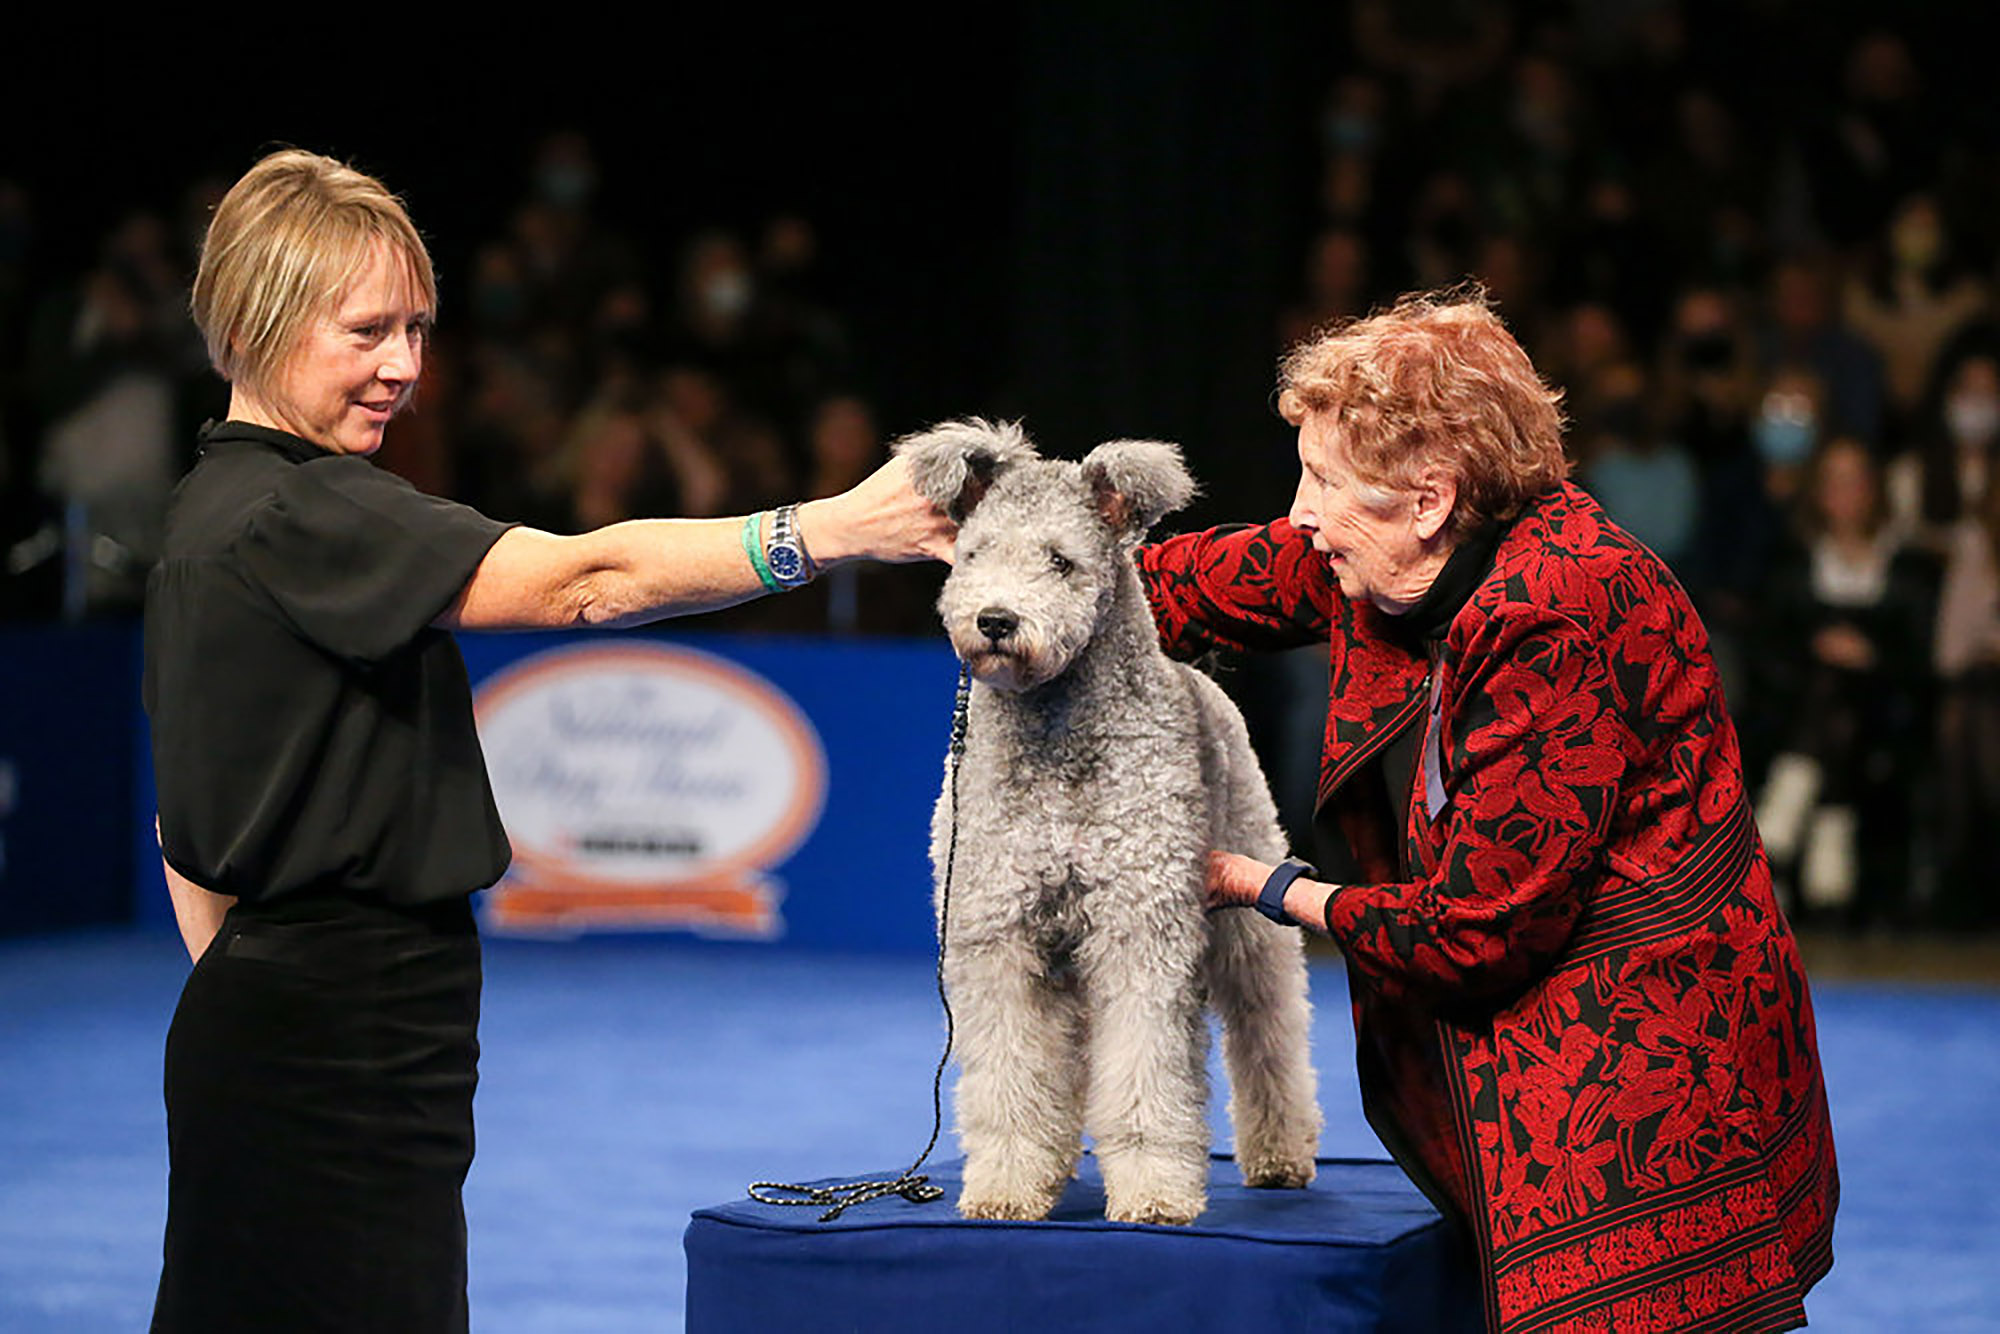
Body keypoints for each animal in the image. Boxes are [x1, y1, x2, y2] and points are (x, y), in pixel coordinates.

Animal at [900, 422, 1320, 1224]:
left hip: (1251, 920)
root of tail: (1201, 679)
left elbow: (1147, 1077)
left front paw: (1154, 1191)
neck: (1057, 742)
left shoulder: (1141, 930)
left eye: (1061, 560)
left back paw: (1281, 1155)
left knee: (1270, 1035)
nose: (995, 621)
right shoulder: (998, 935)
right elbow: (1011, 1077)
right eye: (974, 553)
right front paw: (1007, 1184)